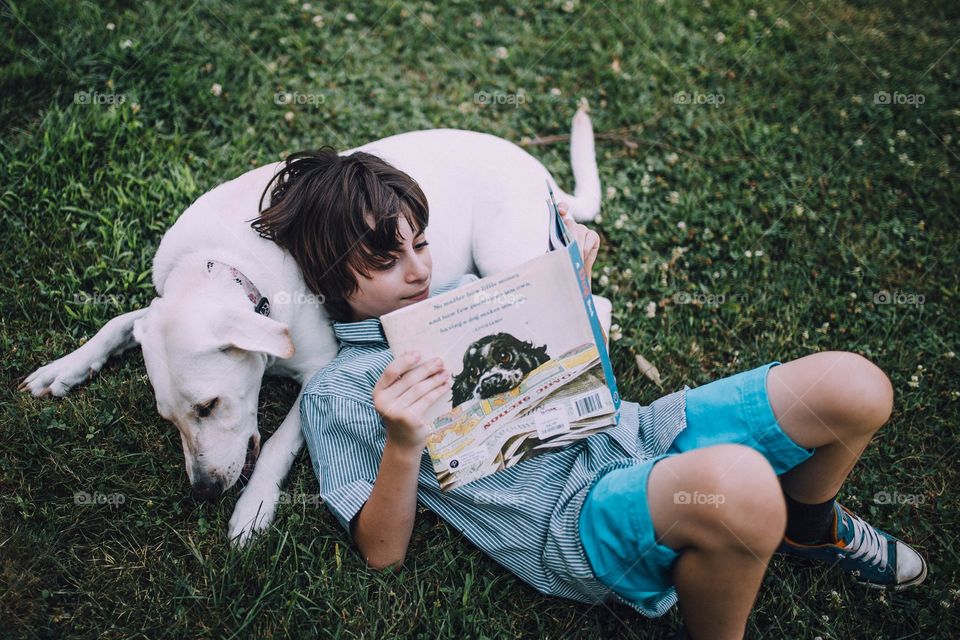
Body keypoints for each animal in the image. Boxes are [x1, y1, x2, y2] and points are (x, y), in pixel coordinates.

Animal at [18, 109, 608, 544]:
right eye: (167, 418)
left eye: (208, 406)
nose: (203, 492)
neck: (224, 265)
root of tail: (536, 168)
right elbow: (120, 320)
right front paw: (64, 368)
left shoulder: (321, 366)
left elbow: (277, 443)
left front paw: (254, 507)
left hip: (504, 254)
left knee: (592, 298)